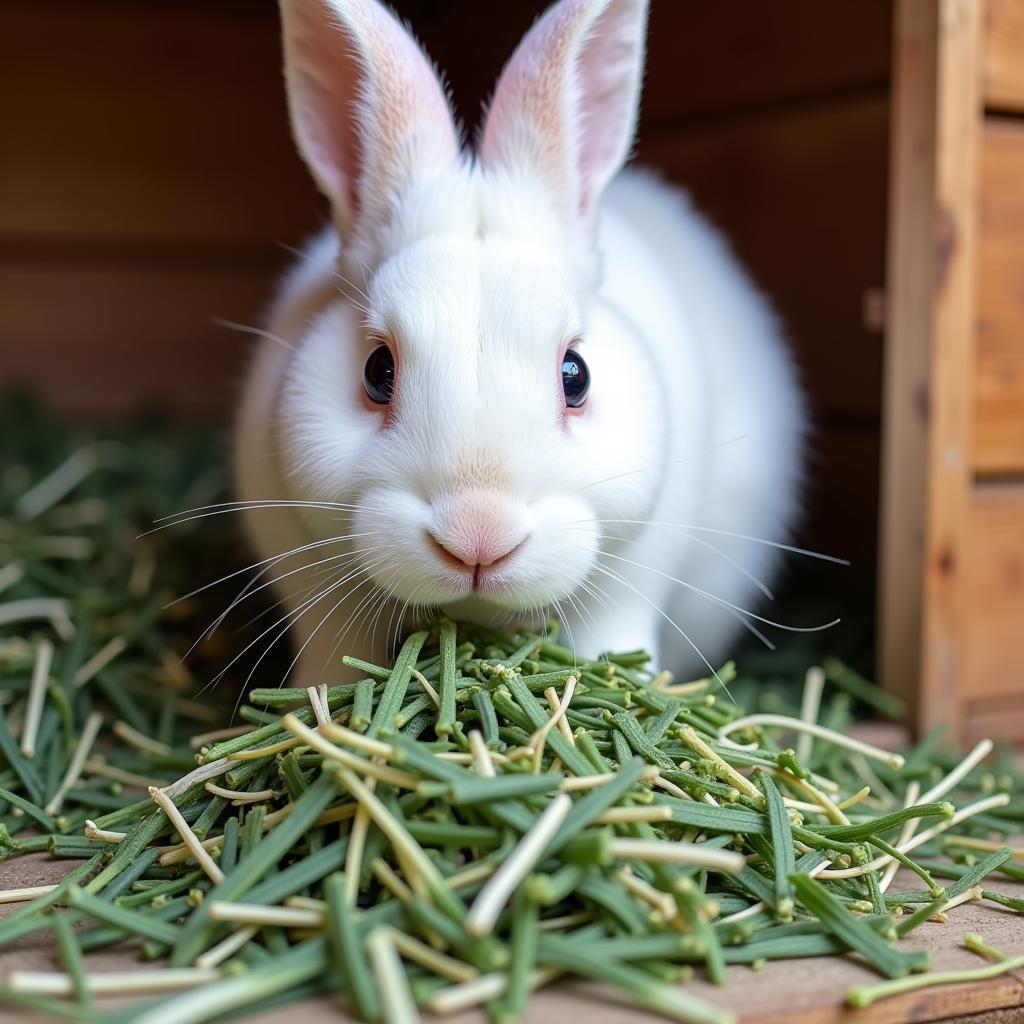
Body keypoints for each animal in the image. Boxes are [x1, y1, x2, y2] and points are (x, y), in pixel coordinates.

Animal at [234, 2, 806, 688]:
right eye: (377, 372)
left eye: (576, 374)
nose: (478, 536)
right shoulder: (311, 588)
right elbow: (334, 655)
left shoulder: (627, 589)